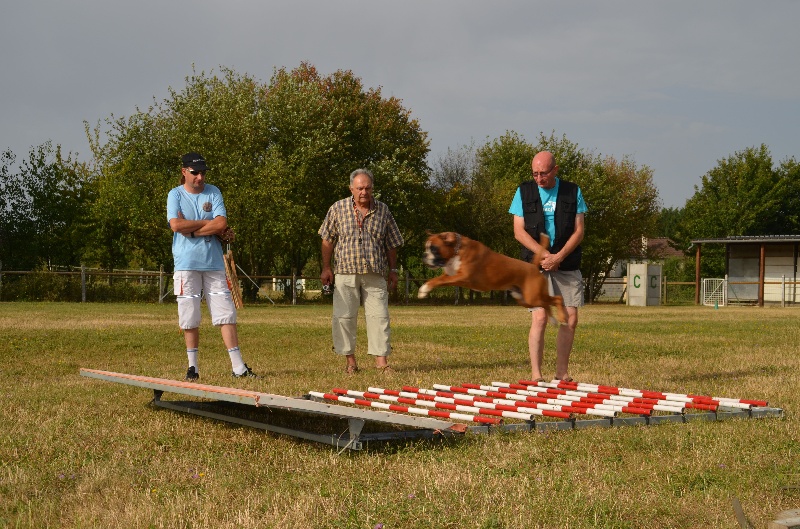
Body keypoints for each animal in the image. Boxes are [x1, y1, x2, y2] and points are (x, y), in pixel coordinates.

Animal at [418, 230, 568, 322]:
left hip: (533, 296)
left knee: (557, 299)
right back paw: (553, 320)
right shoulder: (451, 275)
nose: (424, 255)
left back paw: (562, 319)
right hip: (526, 299)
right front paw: (423, 289)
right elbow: (439, 278)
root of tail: (533, 266)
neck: (457, 250)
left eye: (434, 249)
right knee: (547, 304)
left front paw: (424, 290)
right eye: (426, 248)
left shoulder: (462, 276)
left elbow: (438, 280)